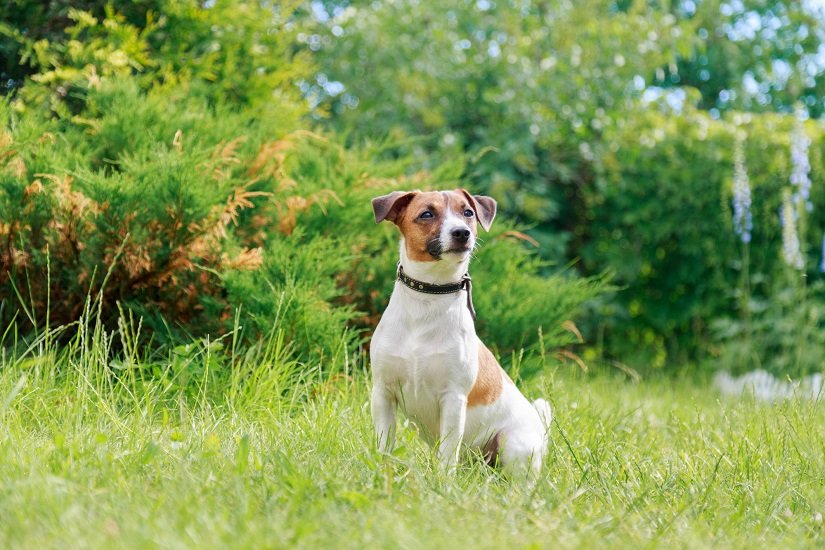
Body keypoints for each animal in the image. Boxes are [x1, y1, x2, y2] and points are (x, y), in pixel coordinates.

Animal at [368, 190, 552, 478]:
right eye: (427, 214)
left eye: (468, 212)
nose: (462, 232)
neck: (428, 298)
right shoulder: (383, 393)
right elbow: (384, 444)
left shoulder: (453, 400)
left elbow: (447, 453)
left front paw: (443, 482)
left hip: (513, 443)